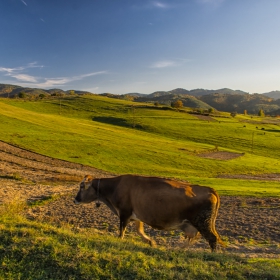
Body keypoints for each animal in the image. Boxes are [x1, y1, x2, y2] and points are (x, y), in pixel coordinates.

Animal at [73, 175, 222, 252]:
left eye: (82, 186)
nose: (75, 199)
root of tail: (209, 189)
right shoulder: (136, 215)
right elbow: (139, 231)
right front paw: (151, 242)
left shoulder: (124, 212)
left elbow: (121, 230)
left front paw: (119, 240)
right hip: (195, 224)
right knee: (194, 238)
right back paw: (179, 249)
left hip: (203, 222)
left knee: (212, 238)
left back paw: (212, 254)